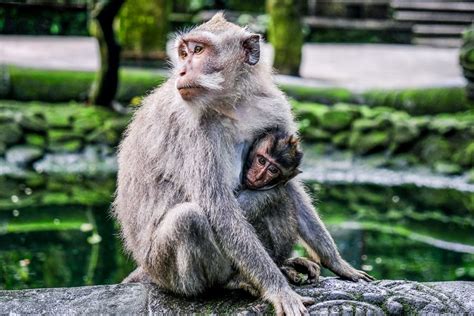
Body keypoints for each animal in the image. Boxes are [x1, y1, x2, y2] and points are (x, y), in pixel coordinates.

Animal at [114, 12, 370, 316]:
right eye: (184, 53)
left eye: (198, 50)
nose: (182, 71)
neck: (231, 103)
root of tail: (146, 266)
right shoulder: (193, 130)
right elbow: (219, 207)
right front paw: (278, 289)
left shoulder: (274, 107)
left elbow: (291, 185)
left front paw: (337, 262)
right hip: (163, 269)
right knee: (189, 219)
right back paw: (229, 283)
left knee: (280, 194)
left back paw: (285, 264)